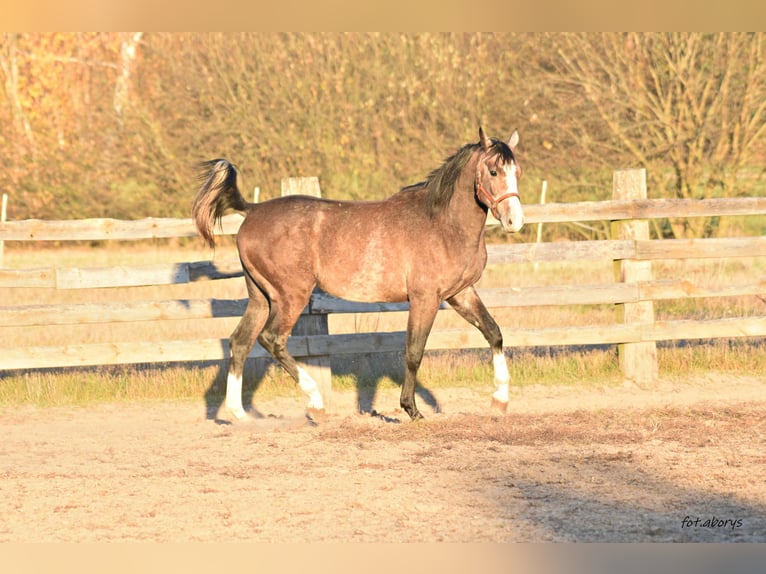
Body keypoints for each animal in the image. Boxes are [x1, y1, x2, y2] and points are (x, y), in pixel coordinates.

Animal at [195, 127, 524, 424]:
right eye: (493, 171)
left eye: (517, 171)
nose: (515, 222)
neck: (443, 225)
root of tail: (252, 210)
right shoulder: (425, 298)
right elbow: (414, 352)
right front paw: (412, 410)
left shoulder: (460, 293)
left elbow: (494, 333)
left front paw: (500, 402)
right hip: (291, 296)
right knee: (272, 339)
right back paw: (315, 405)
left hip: (261, 297)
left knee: (240, 342)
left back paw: (239, 415)